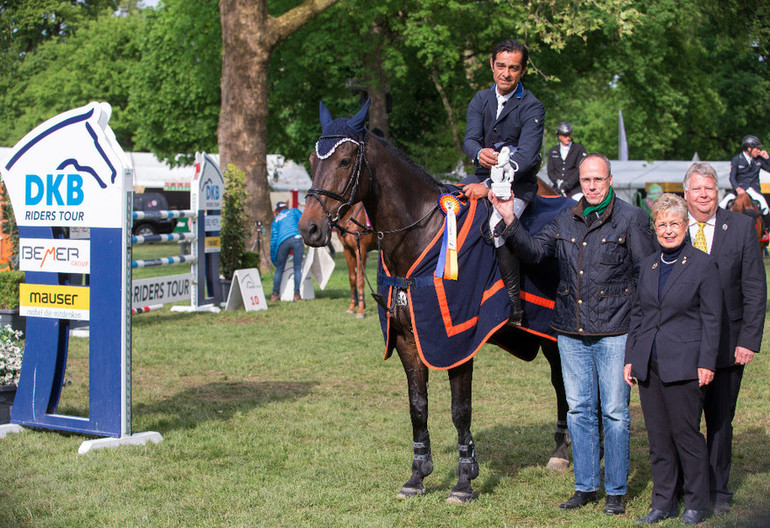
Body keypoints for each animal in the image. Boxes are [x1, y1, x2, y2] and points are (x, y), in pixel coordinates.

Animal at [296, 102, 568, 504]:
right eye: (313, 160)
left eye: (345, 160)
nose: (310, 228)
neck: (423, 234)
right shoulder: (409, 339)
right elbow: (418, 407)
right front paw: (417, 475)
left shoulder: (458, 343)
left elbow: (460, 410)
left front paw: (464, 480)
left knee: (563, 383)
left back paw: (563, 453)